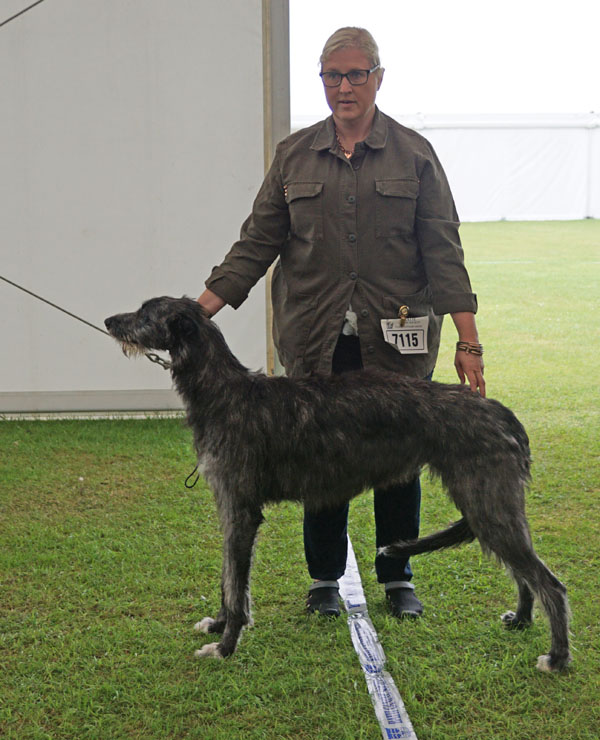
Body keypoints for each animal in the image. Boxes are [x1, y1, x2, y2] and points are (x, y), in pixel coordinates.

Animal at [103, 294, 572, 672]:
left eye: (145, 314)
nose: (109, 320)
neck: (223, 392)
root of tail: (501, 412)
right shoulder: (229, 508)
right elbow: (227, 580)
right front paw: (217, 625)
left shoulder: (241, 510)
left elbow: (237, 588)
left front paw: (225, 645)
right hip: (491, 506)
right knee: (524, 573)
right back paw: (522, 620)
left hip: (487, 502)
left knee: (549, 582)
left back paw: (558, 657)